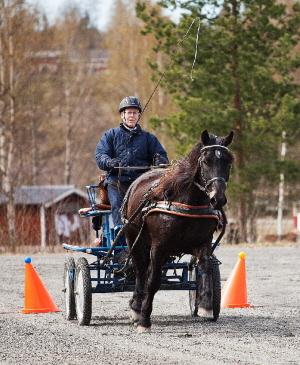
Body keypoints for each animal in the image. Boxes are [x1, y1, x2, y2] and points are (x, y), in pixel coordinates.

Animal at [122, 129, 234, 332]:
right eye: (206, 160)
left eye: (228, 161)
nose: (218, 199)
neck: (188, 202)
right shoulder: (158, 247)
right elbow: (153, 281)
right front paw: (144, 320)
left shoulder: (203, 243)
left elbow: (205, 268)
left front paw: (205, 305)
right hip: (134, 238)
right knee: (141, 272)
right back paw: (136, 309)